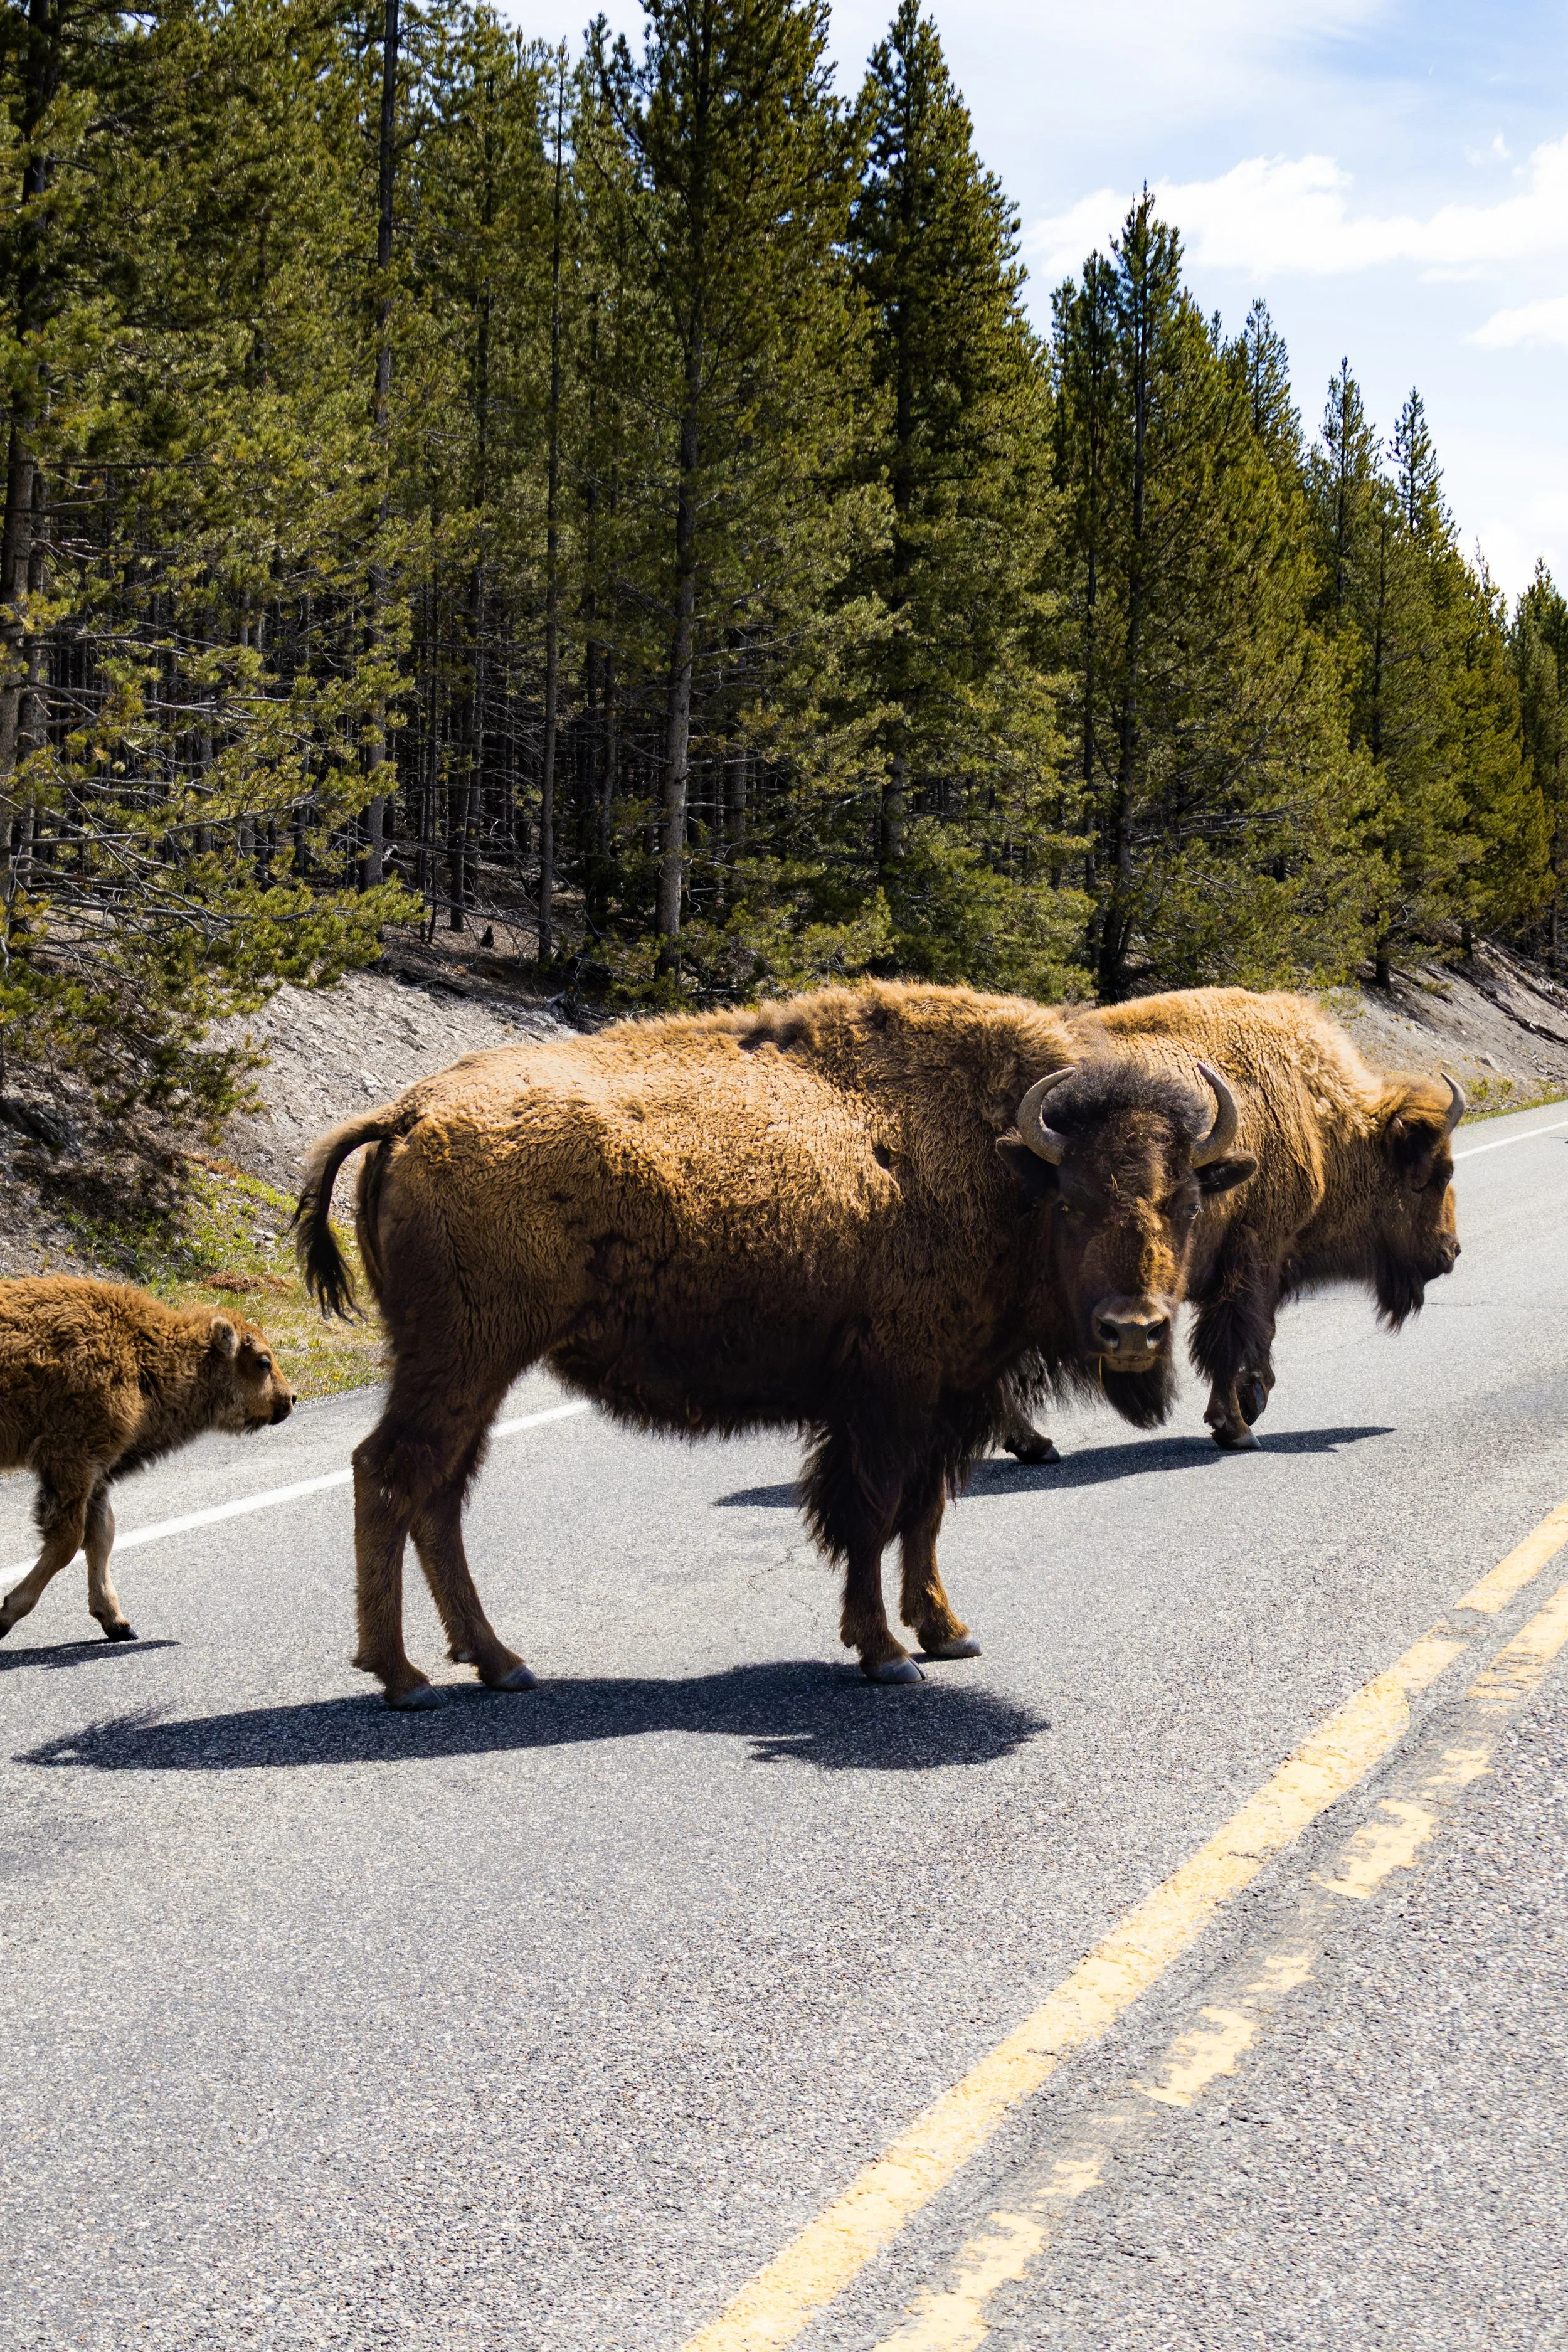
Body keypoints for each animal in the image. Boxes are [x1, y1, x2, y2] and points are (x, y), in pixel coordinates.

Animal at [295, 982, 1257, 1705]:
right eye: (1072, 1201)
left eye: (1185, 1201)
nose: (1133, 1329)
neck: (1001, 1162)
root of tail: (410, 1111)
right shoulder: (889, 1398)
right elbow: (870, 1512)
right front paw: (885, 1654)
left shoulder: (949, 1395)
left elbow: (924, 1514)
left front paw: (947, 1633)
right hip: (464, 1356)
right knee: (392, 1474)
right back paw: (405, 1677)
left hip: (473, 1367)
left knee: (439, 1494)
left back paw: (498, 1663)